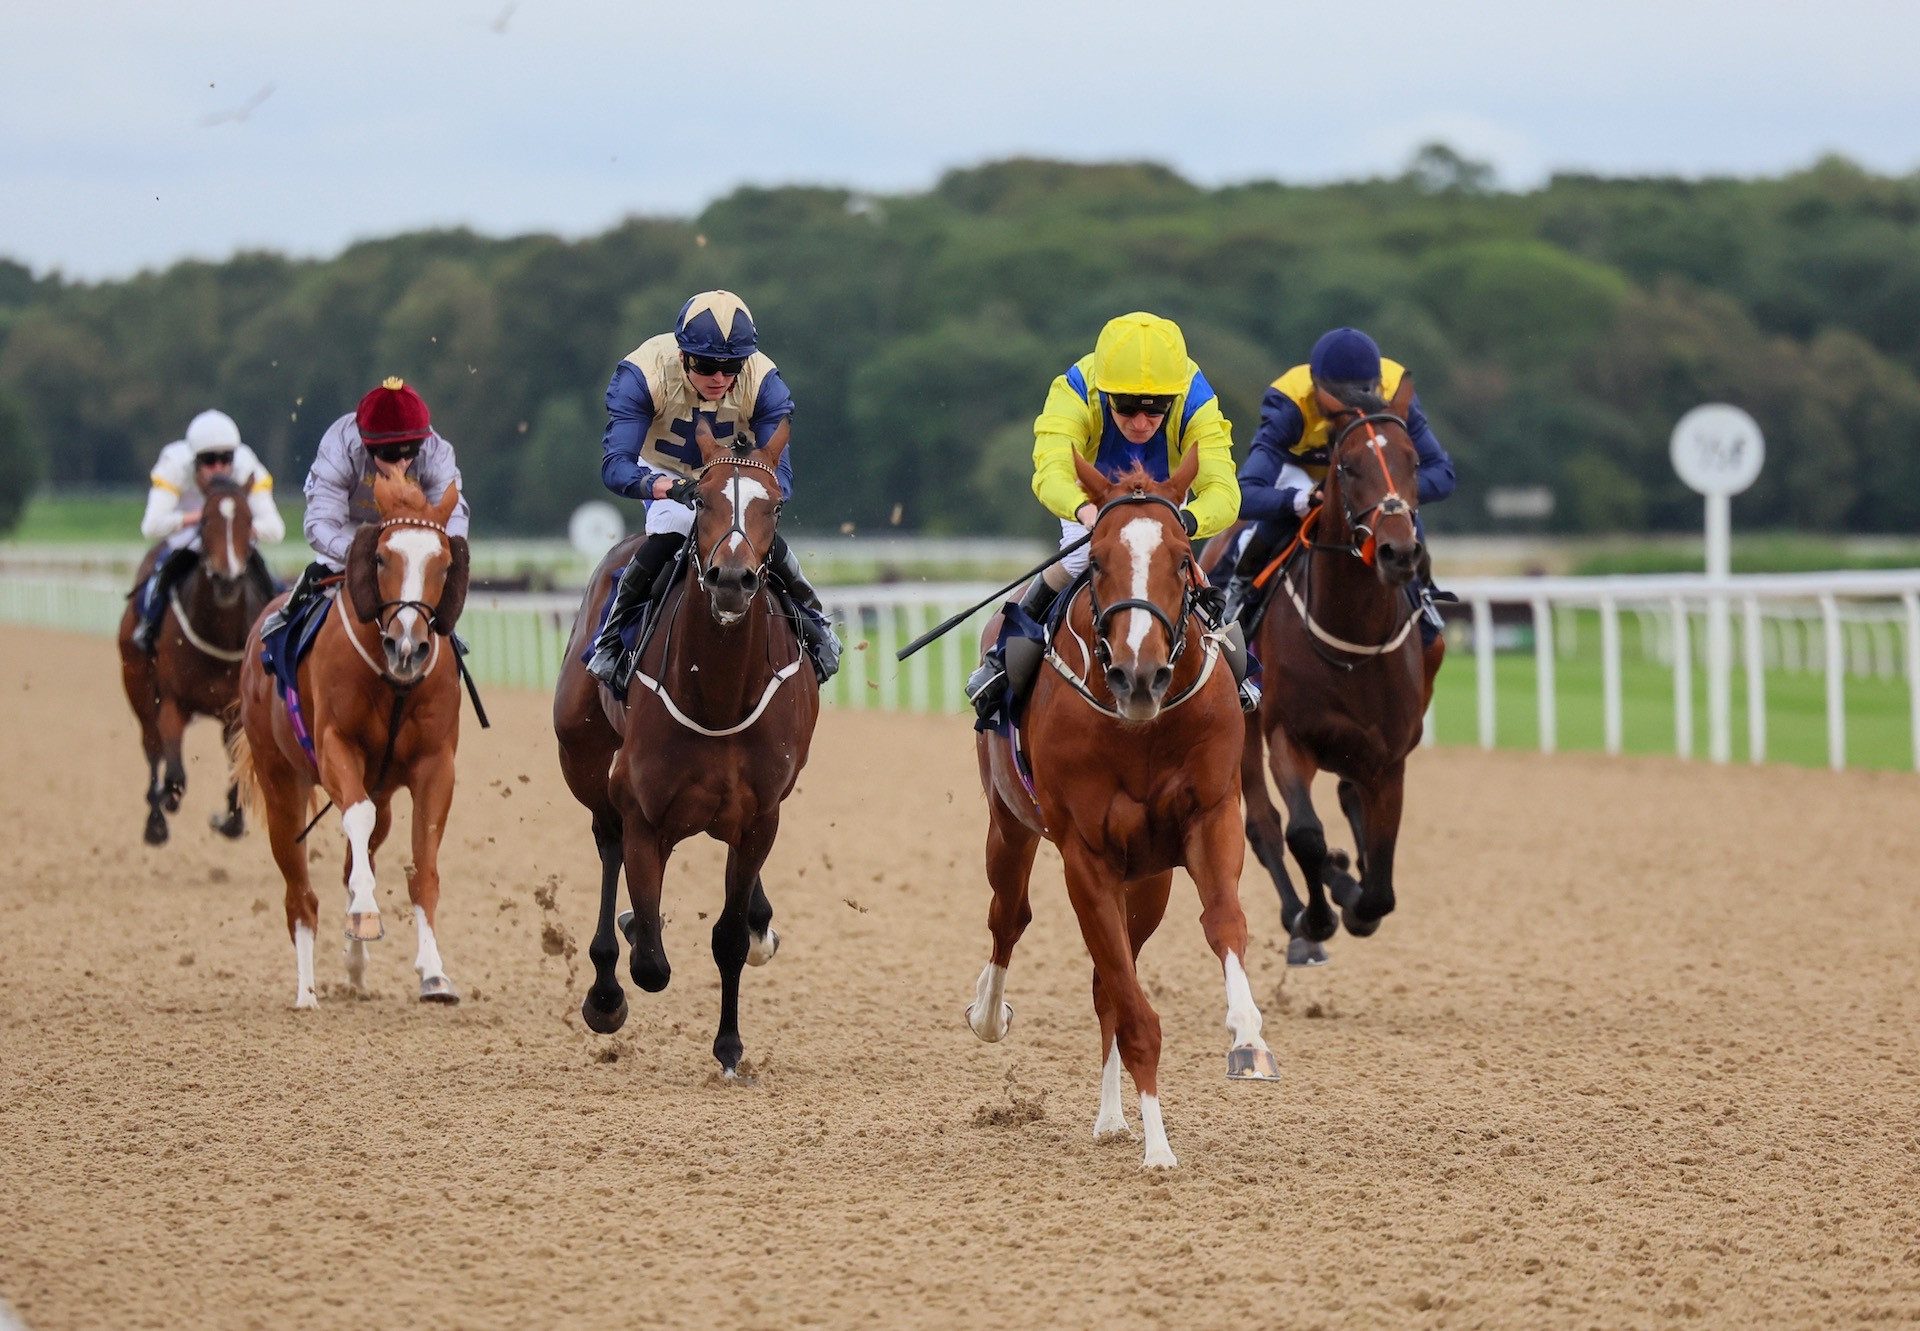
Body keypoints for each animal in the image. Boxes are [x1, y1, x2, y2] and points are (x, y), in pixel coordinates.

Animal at [118, 474, 270, 841]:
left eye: (249, 520)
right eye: (203, 521)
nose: (227, 580)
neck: (217, 633)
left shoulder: (237, 712)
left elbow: (237, 768)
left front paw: (230, 820)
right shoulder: (173, 701)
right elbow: (174, 774)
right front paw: (166, 801)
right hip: (137, 683)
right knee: (152, 745)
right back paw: (156, 820)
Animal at [230, 466, 470, 1006]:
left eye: (444, 563)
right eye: (381, 556)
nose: (409, 646)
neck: (393, 681)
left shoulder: (435, 764)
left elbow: (423, 866)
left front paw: (434, 973)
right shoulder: (336, 745)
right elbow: (355, 817)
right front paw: (363, 913)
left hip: (379, 789)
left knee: (353, 857)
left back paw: (355, 968)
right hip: (281, 784)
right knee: (300, 893)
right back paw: (306, 992)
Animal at [552, 420, 814, 1075]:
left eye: (774, 505)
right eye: (703, 500)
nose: (732, 580)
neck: (717, 695)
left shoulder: (760, 815)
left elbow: (728, 935)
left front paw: (730, 1046)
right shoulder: (644, 810)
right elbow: (650, 958)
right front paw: (622, 957)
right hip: (583, 760)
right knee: (607, 842)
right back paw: (606, 983)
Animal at [975, 451, 1274, 1167]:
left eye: (1183, 558)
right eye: (1100, 558)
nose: (1139, 676)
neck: (1140, 730)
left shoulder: (1211, 816)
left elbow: (1224, 922)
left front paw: (1247, 1038)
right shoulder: (1085, 856)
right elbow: (1133, 1007)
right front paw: (1159, 1150)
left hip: (1150, 881)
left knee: (1107, 978)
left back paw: (1113, 1116)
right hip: (1010, 824)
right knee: (1009, 916)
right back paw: (989, 1014)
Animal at [1221, 378, 1443, 971]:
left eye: (1413, 460)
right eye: (1347, 465)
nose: (1398, 551)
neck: (1351, 637)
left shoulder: (1389, 756)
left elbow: (1381, 880)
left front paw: (1358, 897)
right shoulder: (1287, 736)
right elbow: (1304, 835)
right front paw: (1317, 915)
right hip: (1244, 728)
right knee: (1264, 825)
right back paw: (1304, 918)